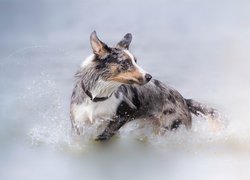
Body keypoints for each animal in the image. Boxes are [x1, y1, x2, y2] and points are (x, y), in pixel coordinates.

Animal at [69, 31, 218, 141]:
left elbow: (104, 134)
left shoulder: (124, 113)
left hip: (170, 127)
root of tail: (184, 99)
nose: (148, 76)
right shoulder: (77, 125)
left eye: (135, 61)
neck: (97, 97)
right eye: (125, 63)